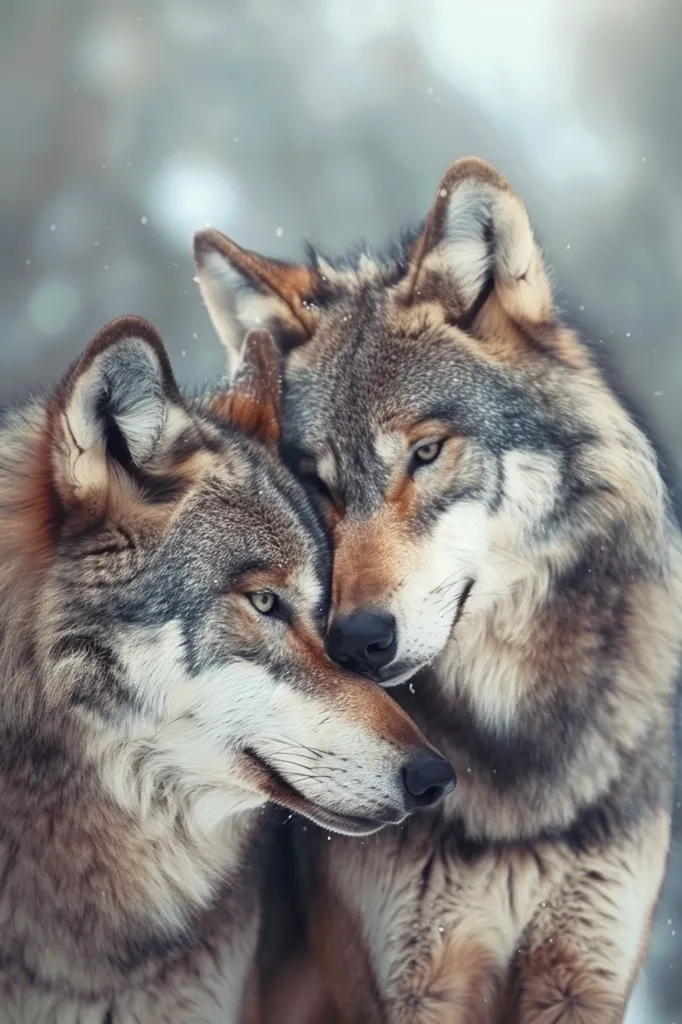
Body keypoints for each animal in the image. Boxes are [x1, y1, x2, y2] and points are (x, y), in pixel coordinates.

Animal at [193, 156, 682, 1023]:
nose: (357, 641)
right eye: (316, 482)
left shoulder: (581, 974)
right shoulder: (409, 980)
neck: (512, 770)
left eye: (425, 452)